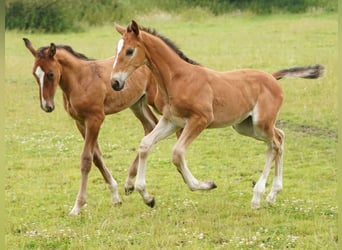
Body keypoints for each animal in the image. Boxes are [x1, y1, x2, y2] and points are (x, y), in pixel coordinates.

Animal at [111, 20, 324, 209]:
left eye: (129, 51)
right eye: (116, 51)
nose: (115, 82)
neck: (178, 78)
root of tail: (272, 77)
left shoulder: (201, 119)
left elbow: (177, 153)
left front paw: (205, 185)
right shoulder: (172, 121)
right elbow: (145, 144)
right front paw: (146, 196)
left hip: (261, 124)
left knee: (275, 144)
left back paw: (258, 197)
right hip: (246, 126)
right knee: (279, 137)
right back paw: (272, 195)